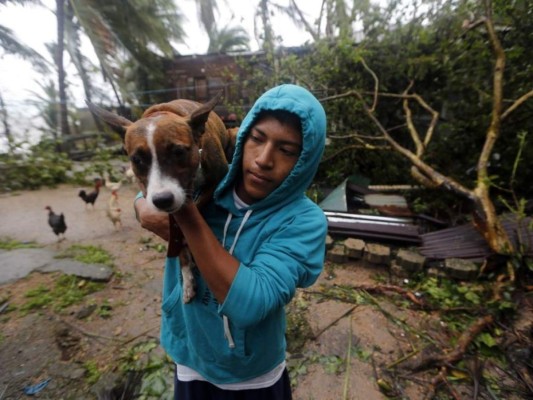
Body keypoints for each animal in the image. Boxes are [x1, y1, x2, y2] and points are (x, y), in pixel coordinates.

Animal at [87, 93, 233, 300]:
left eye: (179, 152)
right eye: (137, 160)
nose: (163, 200)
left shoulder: (217, 177)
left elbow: (195, 209)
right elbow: (176, 239)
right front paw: (187, 275)